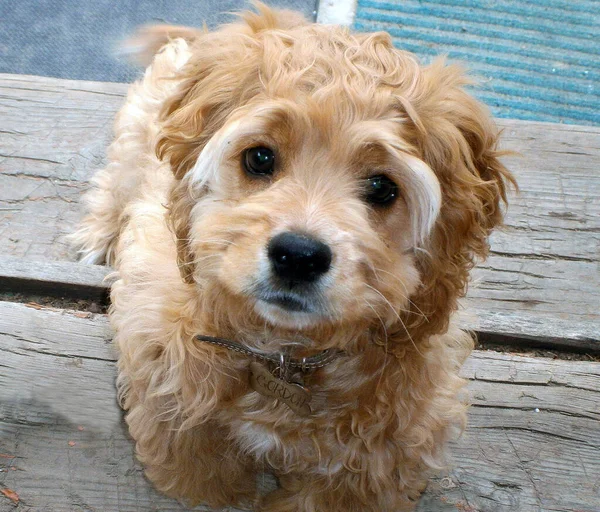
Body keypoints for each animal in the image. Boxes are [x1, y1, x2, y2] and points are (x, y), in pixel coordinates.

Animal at [72, 3, 516, 508]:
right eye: (259, 158)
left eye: (383, 187)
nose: (298, 256)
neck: (286, 356)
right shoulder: (168, 387)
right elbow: (202, 473)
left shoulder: (376, 459)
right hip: (135, 135)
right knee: (115, 179)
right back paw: (98, 232)